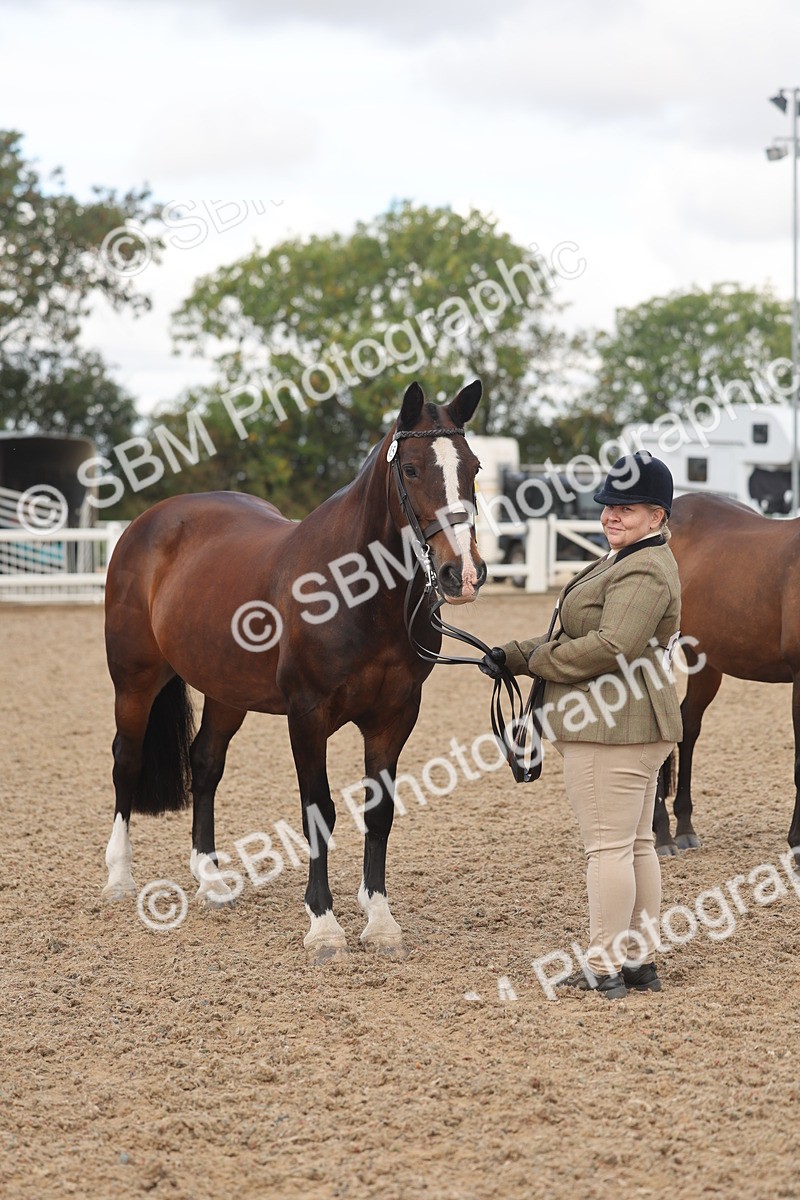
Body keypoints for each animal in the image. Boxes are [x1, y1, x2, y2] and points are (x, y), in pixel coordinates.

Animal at [102, 380, 487, 964]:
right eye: (412, 468)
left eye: (474, 467)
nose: (460, 574)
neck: (357, 594)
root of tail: (149, 522)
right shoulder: (307, 716)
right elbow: (319, 811)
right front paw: (324, 926)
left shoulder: (395, 716)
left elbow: (379, 812)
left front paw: (380, 921)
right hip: (135, 679)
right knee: (127, 760)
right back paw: (119, 878)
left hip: (226, 691)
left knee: (205, 763)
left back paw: (211, 878)